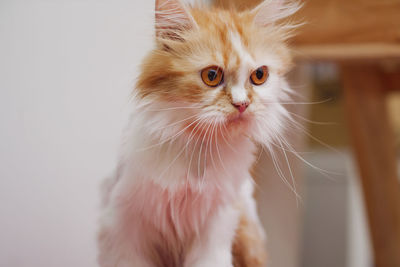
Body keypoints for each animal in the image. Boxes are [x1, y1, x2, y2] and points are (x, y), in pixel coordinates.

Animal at [98, 0, 300, 267]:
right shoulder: (123, 227)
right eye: (211, 76)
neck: (201, 146)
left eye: (259, 75)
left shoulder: (216, 227)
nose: (242, 104)